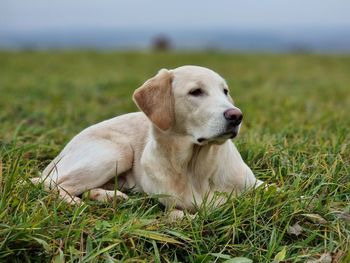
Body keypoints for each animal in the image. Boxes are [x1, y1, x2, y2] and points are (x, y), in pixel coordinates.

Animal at [32, 65, 262, 217]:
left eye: (225, 91)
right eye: (195, 91)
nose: (237, 116)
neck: (195, 167)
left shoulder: (259, 187)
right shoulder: (169, 205)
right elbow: (179, 215)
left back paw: (108, 196)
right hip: (117, 150)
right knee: (53, 184)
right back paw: (75, 203)